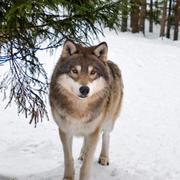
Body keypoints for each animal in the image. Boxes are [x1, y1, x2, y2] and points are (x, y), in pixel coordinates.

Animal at [49, 39, 124, 180]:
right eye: (74, 71)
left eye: (92, 72)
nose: (84, 89)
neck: (79, 110)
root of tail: (110, 62)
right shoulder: (65, 130)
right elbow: (68, 159)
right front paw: (68, 177)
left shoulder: (94, 132)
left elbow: (86, 166)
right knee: (85, 141)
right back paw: (83, 154)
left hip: (108, 121)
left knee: (106, 135)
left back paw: (104, 158)